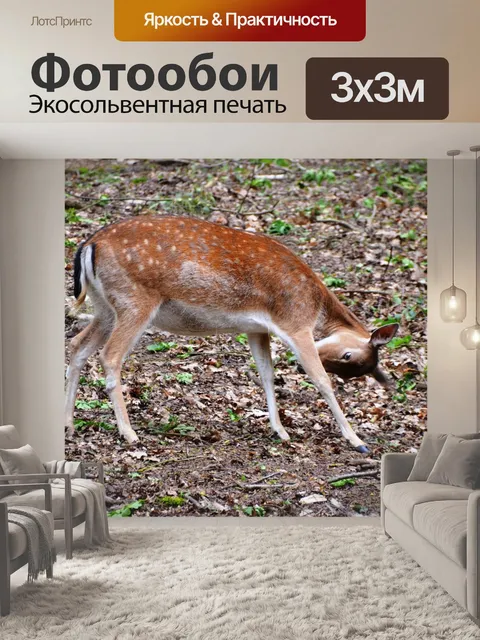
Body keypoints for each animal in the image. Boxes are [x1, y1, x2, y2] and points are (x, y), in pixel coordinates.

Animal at [65, 216, 398, 453]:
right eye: (348, 355)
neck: (317, 304)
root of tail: (89, 246)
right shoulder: (295, 322)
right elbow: (321, 380)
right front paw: (357, 440)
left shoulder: (256, 329)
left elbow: (266, 374)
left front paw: (280, 430)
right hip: (134, 301)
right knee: (110, 356)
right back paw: (129, 433)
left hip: (105, 306)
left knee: (78, 344)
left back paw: (69, 424)